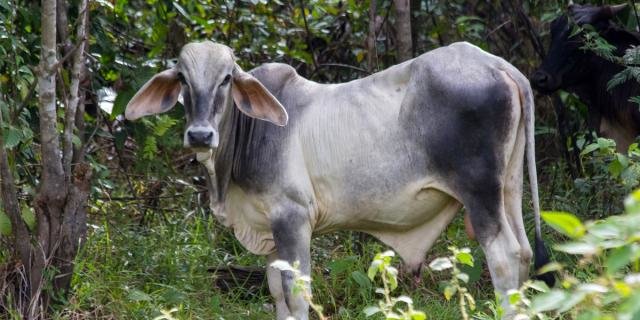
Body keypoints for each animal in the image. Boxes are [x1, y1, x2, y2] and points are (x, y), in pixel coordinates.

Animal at [125, 41, 552, 318]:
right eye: (182, 78)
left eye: (227, 78)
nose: (200, 135)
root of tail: (498, 65)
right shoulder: (269, 232)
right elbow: (277, 293)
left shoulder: (293, 218)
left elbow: (297, 294)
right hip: (507, 188)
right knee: (523, 254)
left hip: (480, 193)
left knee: (504, 258)